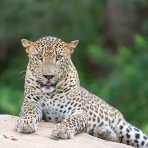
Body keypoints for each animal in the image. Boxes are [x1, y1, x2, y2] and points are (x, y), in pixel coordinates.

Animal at [16, 35, 148, 147]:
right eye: (39, 57)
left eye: (59, 58)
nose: (48, 76)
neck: (51, 93)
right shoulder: (30, 103)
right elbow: (29, 112)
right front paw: (25, 123)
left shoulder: (79, 112)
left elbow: (72, 120)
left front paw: (62, 129)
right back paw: (104, 132)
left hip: (128, 129)